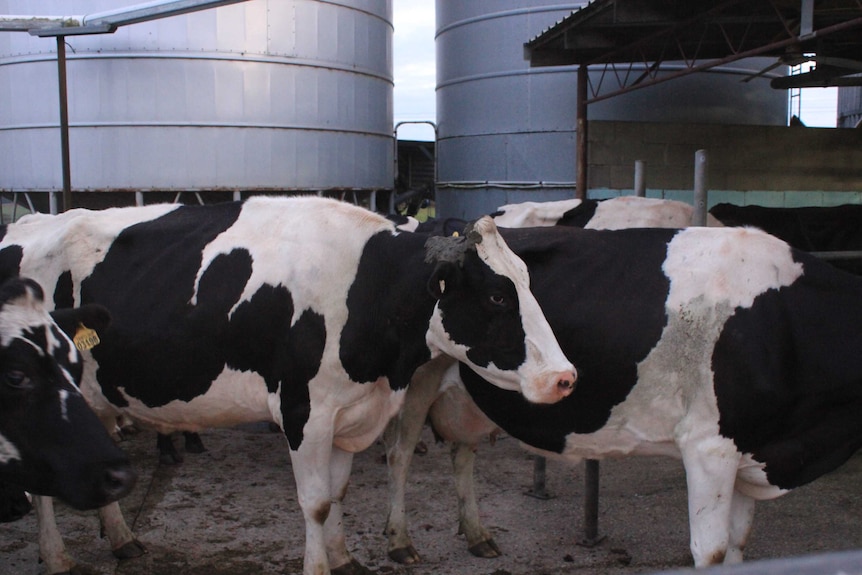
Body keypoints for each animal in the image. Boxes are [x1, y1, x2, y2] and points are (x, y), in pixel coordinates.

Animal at [386, 223, 862, 568]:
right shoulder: (709, 446)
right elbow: (711, 551)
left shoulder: (754, 444)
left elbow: (738, 545)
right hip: (414, 379)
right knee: (401, 454)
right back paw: (399, 541)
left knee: (462, 452)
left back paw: (477, 535)